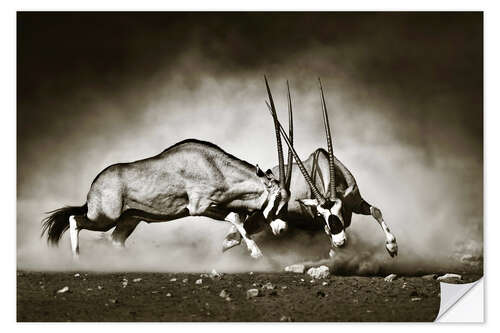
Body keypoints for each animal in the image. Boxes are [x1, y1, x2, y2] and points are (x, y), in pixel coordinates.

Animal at [223, 79, 398, 258]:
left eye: (341, 208)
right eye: (320, 214)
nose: (340, 242)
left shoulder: (355, 202)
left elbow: (376, 211)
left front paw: (392, 247)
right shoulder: (320, 224)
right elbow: (328, 235)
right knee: (234, 236)